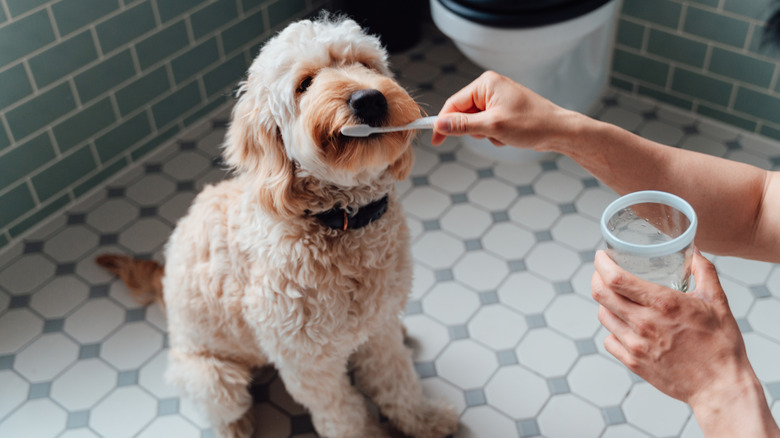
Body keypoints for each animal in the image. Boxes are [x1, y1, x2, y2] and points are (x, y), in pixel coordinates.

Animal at [98, 14, 464, 438]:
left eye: (365, 64)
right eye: (304, 83)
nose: (368, 99)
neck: (341, 222)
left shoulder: (380, 328)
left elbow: (396, 379)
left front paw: (424, 418)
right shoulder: (308, 363)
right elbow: (344, 412)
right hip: (214, 378)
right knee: (223, 405)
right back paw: (237, 425)